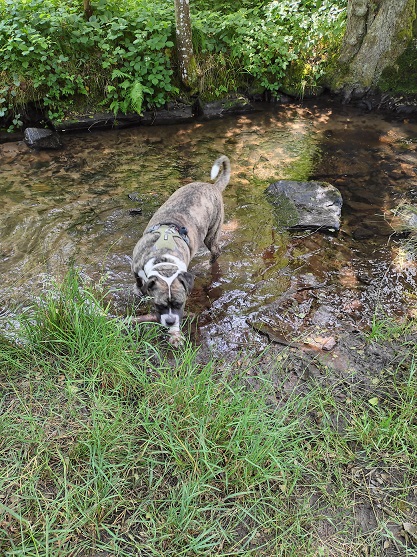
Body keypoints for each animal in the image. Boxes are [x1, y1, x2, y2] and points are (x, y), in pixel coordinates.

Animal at [131, 155, 231, 344]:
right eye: (159, 305)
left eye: (180, 304)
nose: (170, 322)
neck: (163, 258)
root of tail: (212, 186)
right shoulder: (136, 268)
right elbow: (139, 283)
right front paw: (139, 292)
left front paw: (175, 334)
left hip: (212, 234)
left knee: (216, 252)